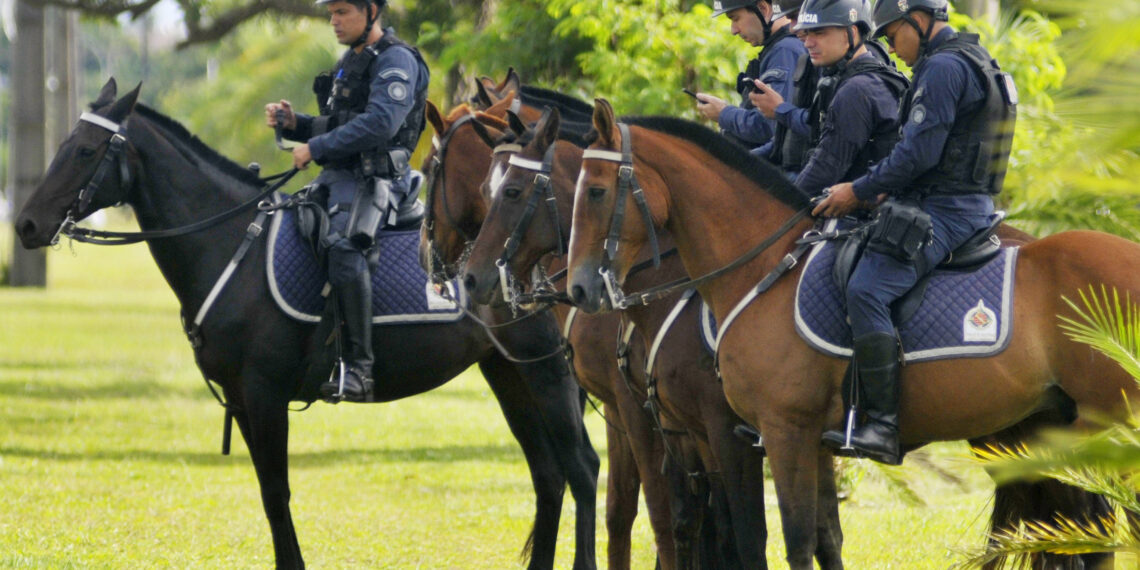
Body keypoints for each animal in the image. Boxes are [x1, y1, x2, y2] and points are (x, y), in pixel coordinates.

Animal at [13, 80, 601, 570]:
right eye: (64, 145)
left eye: (85, 151)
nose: (27, 224)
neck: (234, 247)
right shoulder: (241, 399)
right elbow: (269, 494)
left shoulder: (264, 393)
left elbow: (277, 492)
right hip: (508, 374)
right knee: (549, 476)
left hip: (546, 373)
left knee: (582, 467)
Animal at [458, 107, 798, 570]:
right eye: (482, 189)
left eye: (511, 190)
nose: (472, 277)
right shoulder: (644, 416)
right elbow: (641, 514)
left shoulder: (673, 422)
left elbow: (675, 520)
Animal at [560, 98, 1130, 565]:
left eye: (595, 192)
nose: (579, 289)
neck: (762, 269)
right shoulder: (795, 440)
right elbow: (819, 538)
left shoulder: (774, 432)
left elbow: (778, 540)